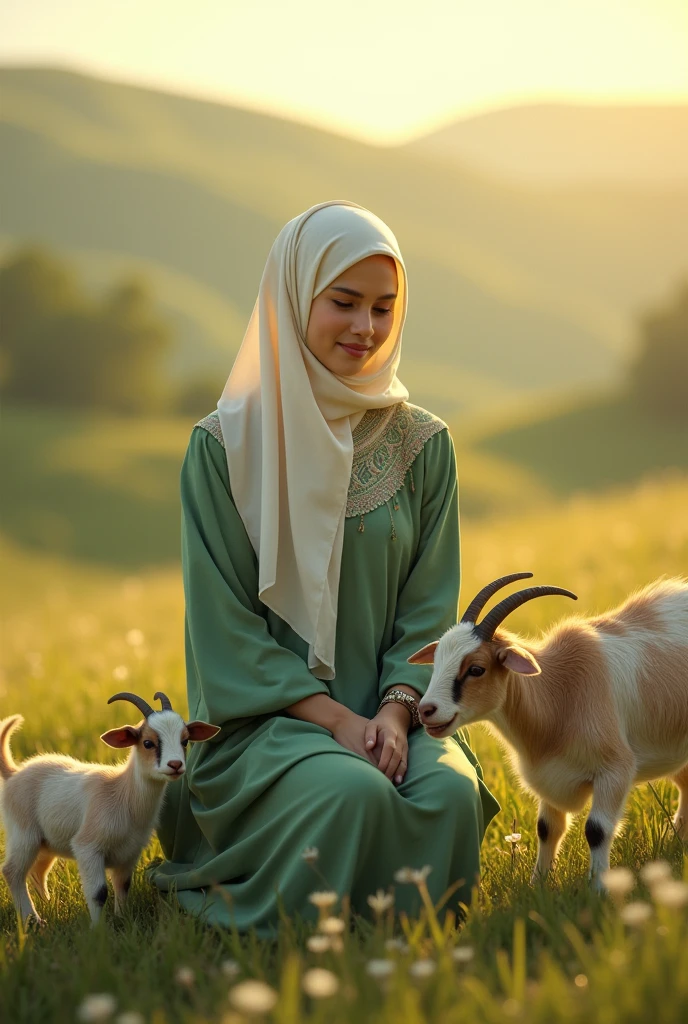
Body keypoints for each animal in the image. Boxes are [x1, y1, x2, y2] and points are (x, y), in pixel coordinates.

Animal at [0, 692, 220, 925]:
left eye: (185, 741)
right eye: (148, 743)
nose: (176, 765)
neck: (124, 795)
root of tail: (13, 773)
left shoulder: (129, 853)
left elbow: (123, 886)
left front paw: (122, 920)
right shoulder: (88, 848)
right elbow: (99, 892)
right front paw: (98, 930)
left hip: (46, 842)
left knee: (37, 871)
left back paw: (47, 905)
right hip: (24, 833)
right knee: (12, 872)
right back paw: (33, 920)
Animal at [411, 577, 683, 888]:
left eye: (477, 669)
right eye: (438, 660)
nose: (426, 710)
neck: (562, 692)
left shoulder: (614, 772)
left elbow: (597, 829)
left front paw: (599, 888)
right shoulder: (549, 779)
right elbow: (547, 828)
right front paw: (537, 885)